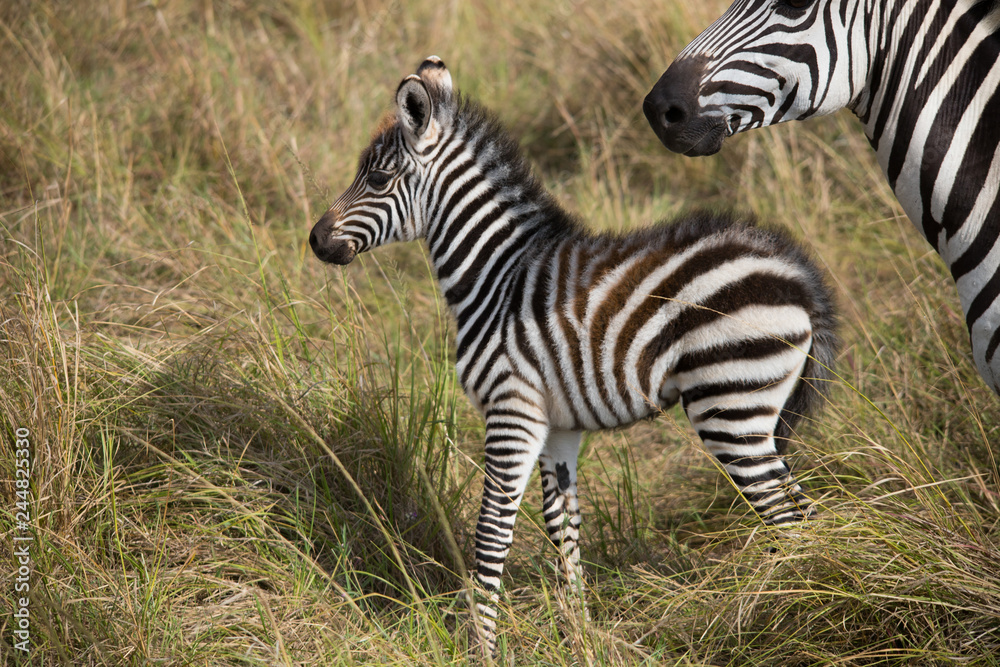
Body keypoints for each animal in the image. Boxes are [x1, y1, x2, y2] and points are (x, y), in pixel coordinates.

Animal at [310, 56, 838, 656]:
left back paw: (795, 618)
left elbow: (492, 532)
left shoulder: (511, 410)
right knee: (804, 515)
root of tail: (798, 274)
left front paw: (484, 649)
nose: (315, 241)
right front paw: (578, 635)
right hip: (757, 416)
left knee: (790, 522)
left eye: (376, 180)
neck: (497, 275)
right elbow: (563, 527)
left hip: (731, 409)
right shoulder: (558, 425)